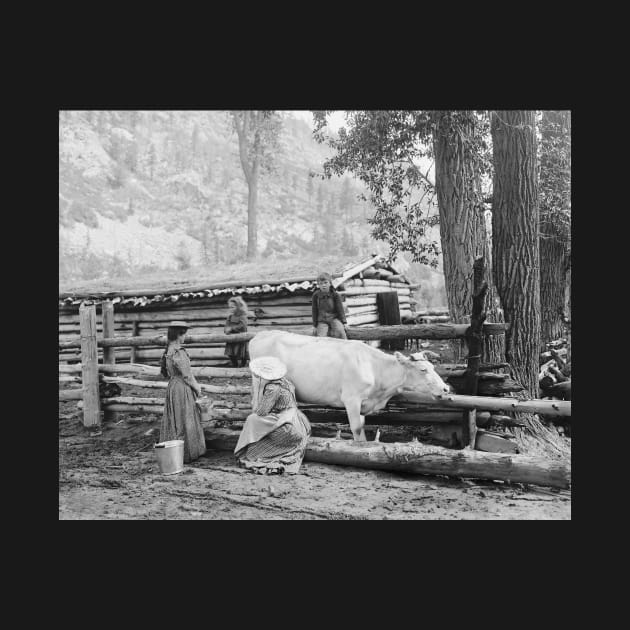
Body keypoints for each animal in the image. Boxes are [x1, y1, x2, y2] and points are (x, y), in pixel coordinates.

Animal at [249, 334, 452, 442]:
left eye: (433, 367)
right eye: (423, 369)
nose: (445, 389)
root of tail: (259, 336)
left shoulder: (363, 404)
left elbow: (362, 426)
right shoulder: (351, 399)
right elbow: (356, 428)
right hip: (259, 382)